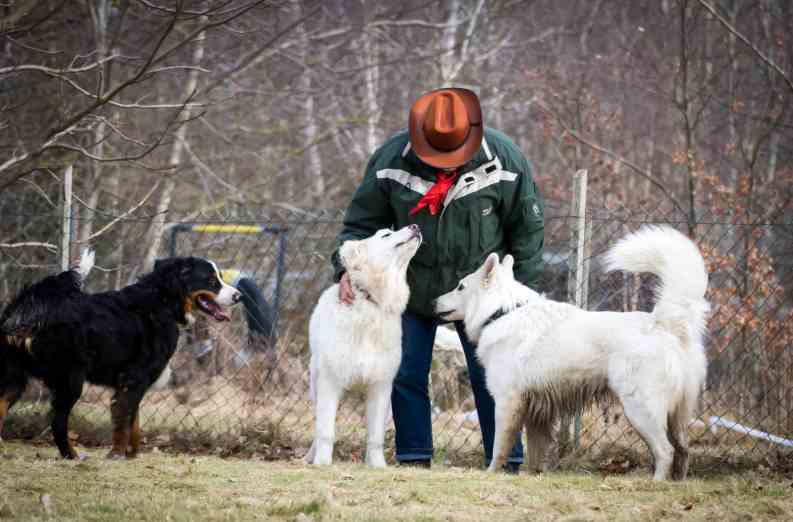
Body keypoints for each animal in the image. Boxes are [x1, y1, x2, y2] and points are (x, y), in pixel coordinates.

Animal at [0, 252, 238, 456]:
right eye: (211, 280)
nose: (239, 295)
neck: (163, 301)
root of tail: (29, 306)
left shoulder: (130, 383)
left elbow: (134, 424)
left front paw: (130, 455)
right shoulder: (134, 378)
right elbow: (124, 423)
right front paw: (117, 455)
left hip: (15, 381)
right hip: (70, 381)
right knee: (58, 423)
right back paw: (72, 456)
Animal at [306, 223, 424, 468]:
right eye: (386, 234)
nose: (415, 225)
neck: (371, 301)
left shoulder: (380, 386)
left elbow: (375, 436)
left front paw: (377, 465)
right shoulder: (330, 382)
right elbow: (325, 430)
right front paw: (322, 462)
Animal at [436, 225, 708, 478]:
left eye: (460, 287)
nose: (433, 301)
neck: (502, 311)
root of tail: (664, 323)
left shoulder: (507, 402)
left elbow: (498, 447)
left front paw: (492, 473)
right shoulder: (537, 413)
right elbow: (535, 452)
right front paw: (532, 475)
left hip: (640, 410)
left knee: (666, 451)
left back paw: (656, 482)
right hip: (676, 417)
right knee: (683, 450)